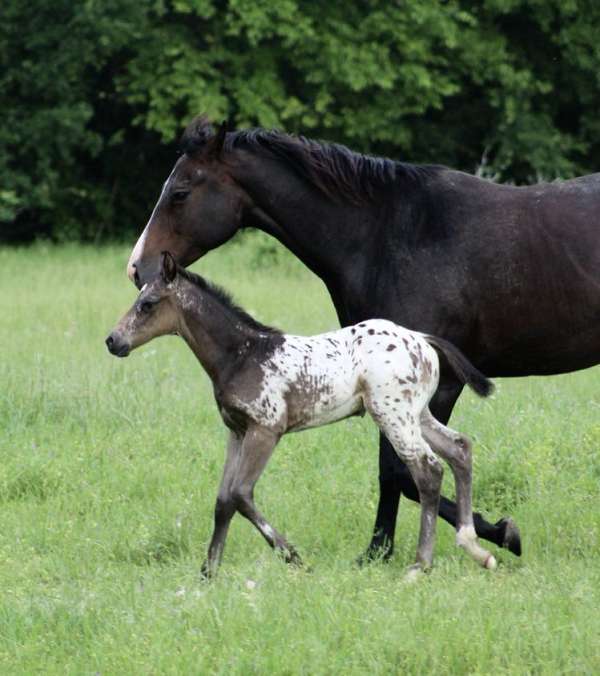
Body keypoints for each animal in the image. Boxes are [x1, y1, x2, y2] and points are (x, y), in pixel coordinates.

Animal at [125, 115, 600, 560]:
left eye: (180, 192)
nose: (137, 268)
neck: (389, 235)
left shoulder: (438, 385)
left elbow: (403, 472)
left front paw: (498, 533)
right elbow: (397, 472)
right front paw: (379, 551)